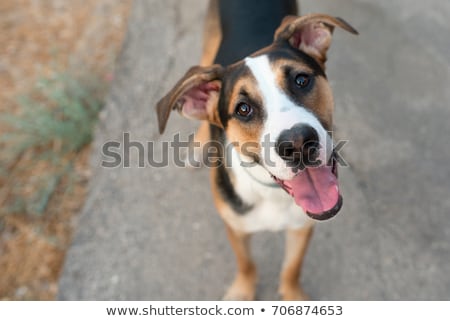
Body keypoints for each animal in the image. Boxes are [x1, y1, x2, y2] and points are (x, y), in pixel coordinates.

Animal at [156, 0, 356, 300]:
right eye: (243, 109)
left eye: (301, 80)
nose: (298, 144)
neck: (272, 192)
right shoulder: (235, 226)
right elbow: (246, 263)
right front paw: (242, 292)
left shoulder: (302, 226)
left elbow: (292, 267)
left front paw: (293, 295)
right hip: (207, 52)